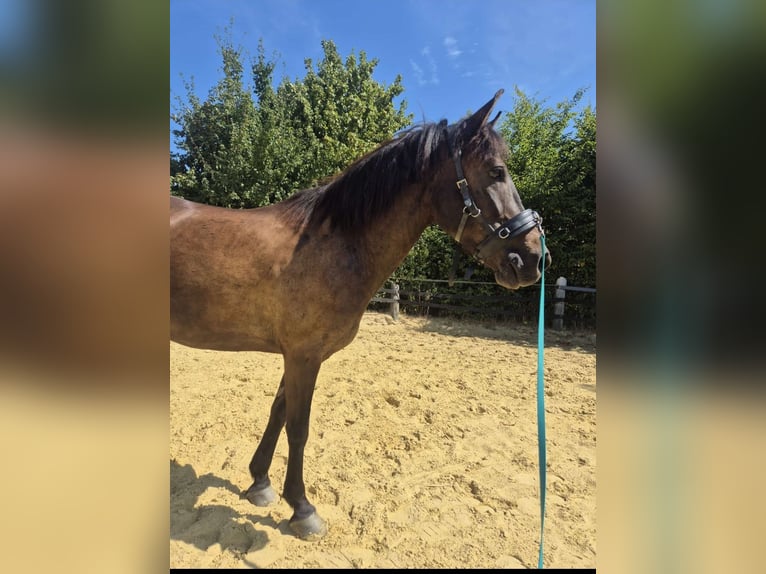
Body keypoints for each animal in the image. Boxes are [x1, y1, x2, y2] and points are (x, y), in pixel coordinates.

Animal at [170, 89, 551, 540]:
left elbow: (278, 413)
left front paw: (260, 483)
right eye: (496, 171)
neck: (331, 243)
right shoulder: (304, 355)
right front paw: (302, 508)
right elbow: (298, 427)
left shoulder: (296, 355)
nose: (533, 258)